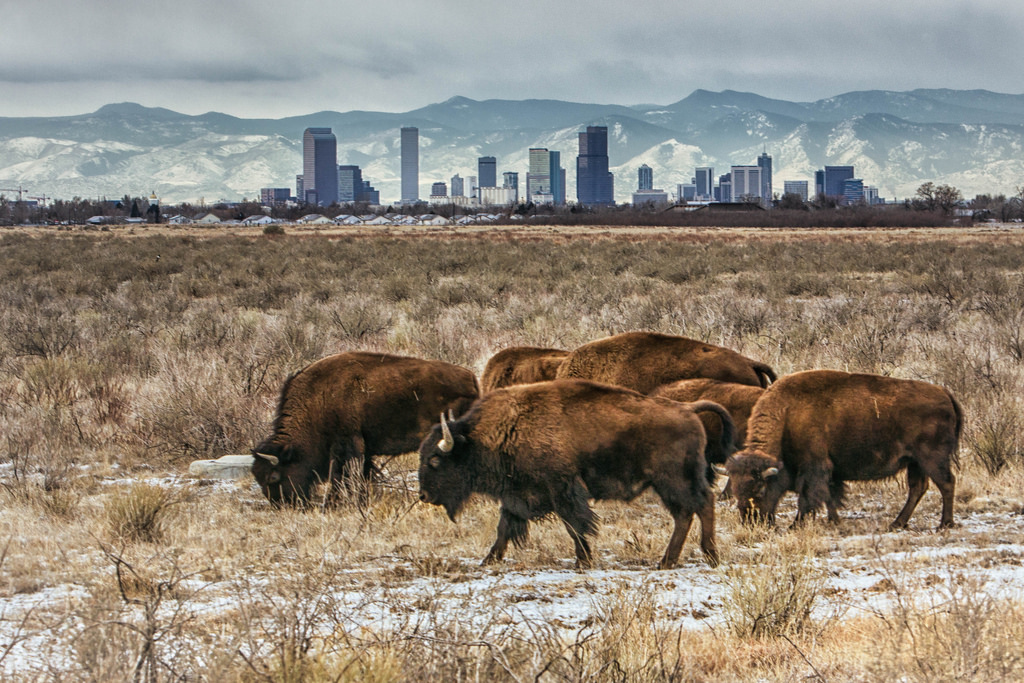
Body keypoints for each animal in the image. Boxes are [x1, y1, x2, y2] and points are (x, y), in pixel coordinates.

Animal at [253, 356, 481, 505]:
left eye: (273, 476)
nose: (280, 505)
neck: (317, 401)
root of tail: (471, 378)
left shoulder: (346, 444)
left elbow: (342, 474)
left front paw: (335, 502)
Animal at [415, 382, 729, 569]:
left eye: (435, 459)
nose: (424, 495)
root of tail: (687, 409)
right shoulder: (515, 495)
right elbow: (504, 527)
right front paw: (488, 560)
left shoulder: (562, 489)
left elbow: (574, 525)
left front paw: (583, 561)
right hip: (667, 485)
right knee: (685, 515)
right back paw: (668, 561)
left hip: (674, 481)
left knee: (702, 505)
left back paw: (709, 556)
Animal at [720, 370, 958, 532]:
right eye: (737, 490)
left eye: (760, 489)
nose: (751, 522)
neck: (787, 415)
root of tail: (945, 393)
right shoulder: (829, 472)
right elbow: (829, 496)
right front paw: (834, 519)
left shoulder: (814, 467)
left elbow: (808, 498)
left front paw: (795, 525)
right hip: (915, 462)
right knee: (918, 488)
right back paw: (897, 523)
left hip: (931, 459)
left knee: (946, 483)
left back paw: (944, 524)